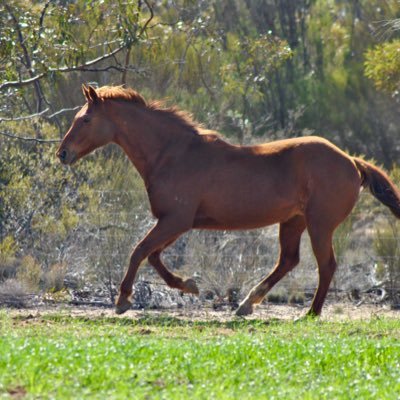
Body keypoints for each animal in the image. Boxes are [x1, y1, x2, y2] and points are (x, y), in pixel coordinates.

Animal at [56, 86, 400, 318]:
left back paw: (309, 313)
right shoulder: (176, 223)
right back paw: (247, 304)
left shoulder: (176, 220)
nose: (62, 153)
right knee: (288, 261)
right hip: (293, 222)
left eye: (85, 119)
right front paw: (189, 285)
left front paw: (123, 301)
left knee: (325, 265)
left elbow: (139, 250)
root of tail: (351, 161)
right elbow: (153, 256)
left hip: (319, 225)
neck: (171, 153)